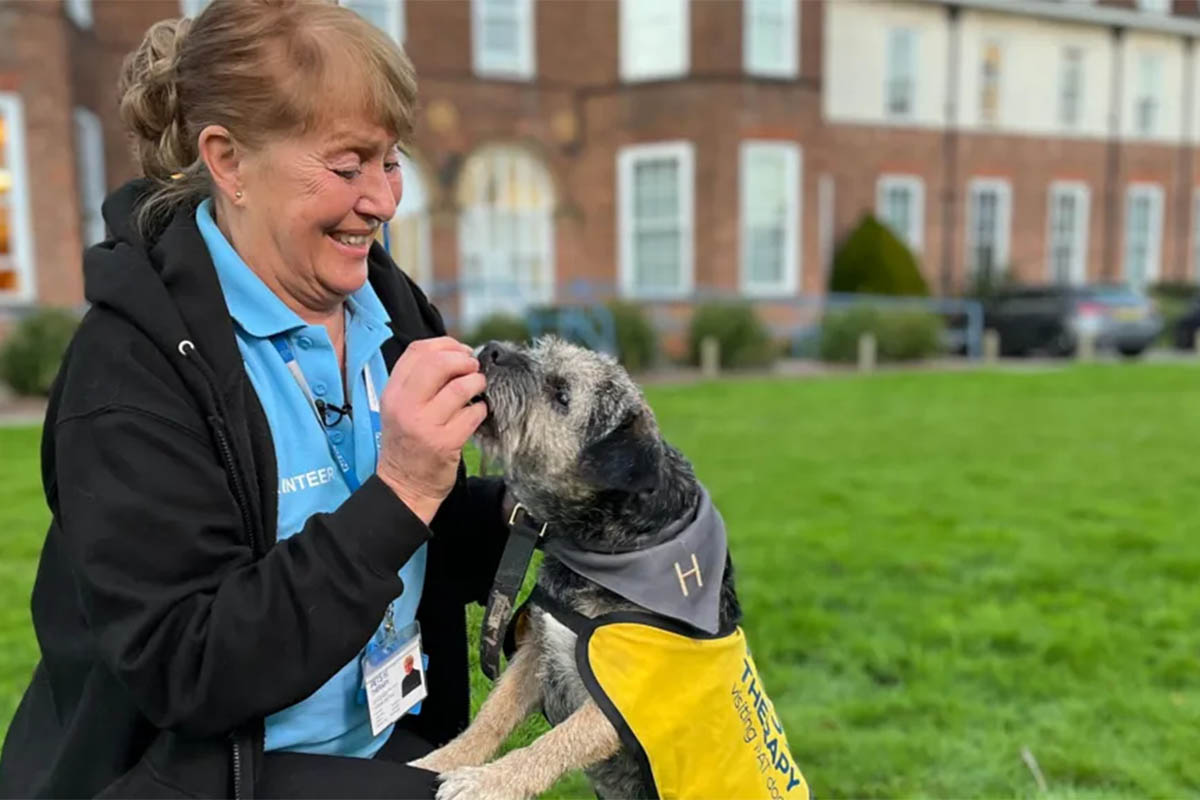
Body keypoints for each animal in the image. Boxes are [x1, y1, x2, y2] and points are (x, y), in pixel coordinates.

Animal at [410, 337, 805, 800]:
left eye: (562, 395)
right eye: (539, 348)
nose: (491, 350)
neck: (616, 549)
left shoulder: (619, 705)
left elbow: (551, 744)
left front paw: (486, 782)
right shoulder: (536, 652)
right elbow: (491, 717)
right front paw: (441, 759)